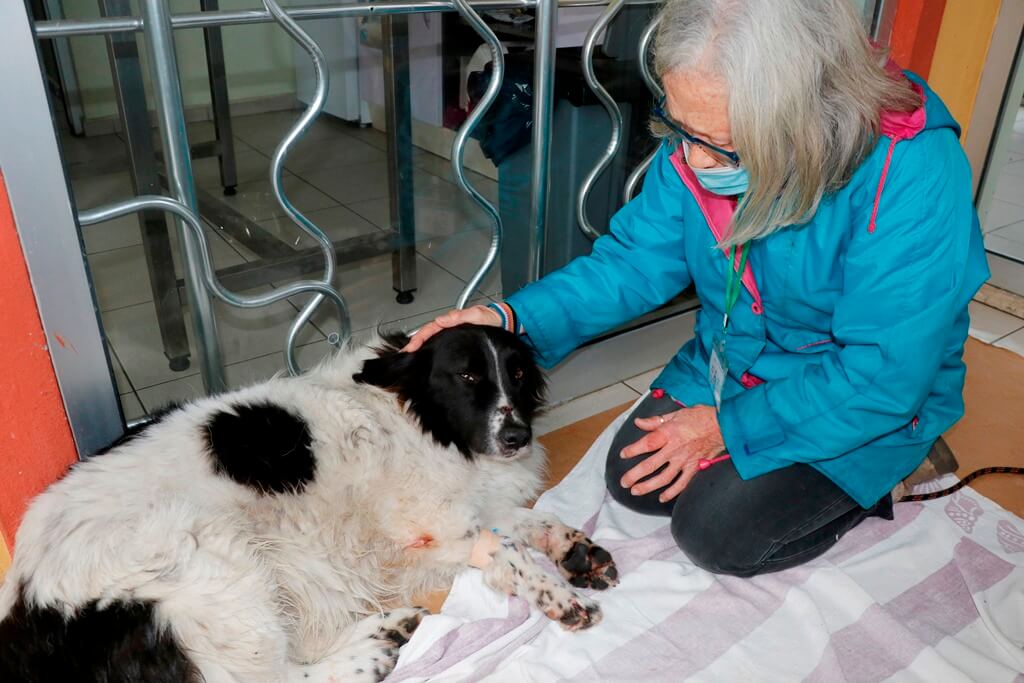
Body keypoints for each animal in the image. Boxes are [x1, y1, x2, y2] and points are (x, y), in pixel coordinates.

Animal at [0, 327, 614, 683]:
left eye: (517, 371)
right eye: (466, 375)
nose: (517, 437)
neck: (416, 416)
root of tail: (25, 613)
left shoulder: (453, 521)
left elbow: (530, 521)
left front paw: (574, 550)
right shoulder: (431, 528)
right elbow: (511, 553)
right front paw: (559, 596)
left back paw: (389, 628)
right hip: (216, 564)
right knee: (271, 680)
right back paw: (373, 649)